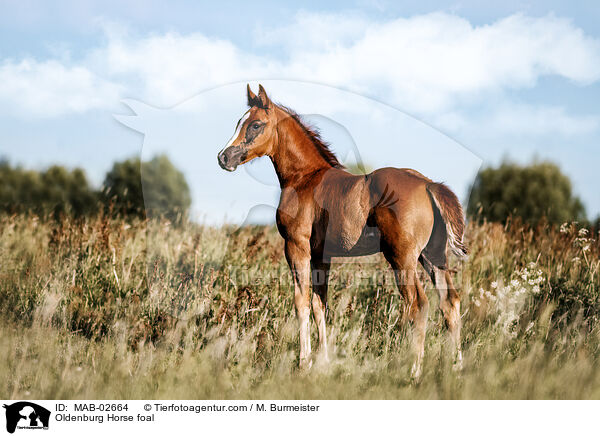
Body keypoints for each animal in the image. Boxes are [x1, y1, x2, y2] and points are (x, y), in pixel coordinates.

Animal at [218, 85, 466, 378]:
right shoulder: (320, 256)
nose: (224, 157)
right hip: (433, 256)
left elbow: (301, 303)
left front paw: (304, 362)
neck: (304, 178)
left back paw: (414, 371)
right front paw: (323, 362)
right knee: (450, 302)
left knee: (419, 304)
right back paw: (456, 366)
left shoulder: (296, 248)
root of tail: (428, 184)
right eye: (239, 122)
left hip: (402, 258)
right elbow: (319, 304)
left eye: (255, 124)